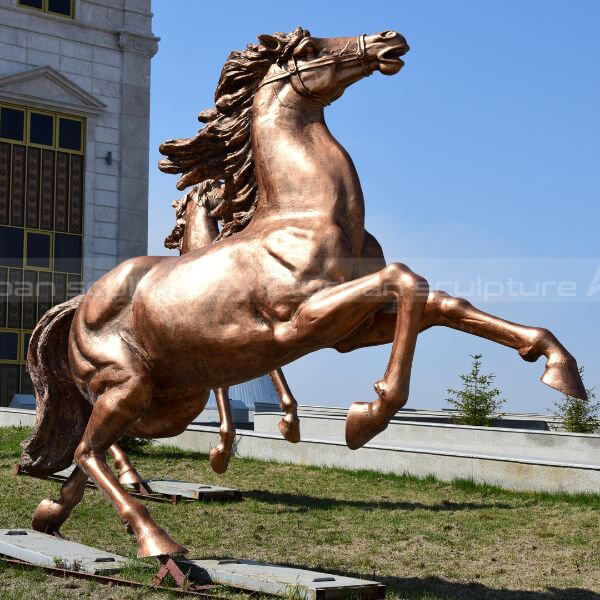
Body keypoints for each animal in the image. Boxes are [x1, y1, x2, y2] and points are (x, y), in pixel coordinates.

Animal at [19, 28, 584, 560]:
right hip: (129, 383)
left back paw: (52, 513)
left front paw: (560, 368)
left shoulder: (350, 331)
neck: (305, 212)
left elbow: (443, 302)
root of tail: (79, 304)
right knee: (90, 448)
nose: (390, 39)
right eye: (310, 47)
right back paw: (155, 541)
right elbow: (407, 278)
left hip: (172, 399)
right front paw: (365, 418)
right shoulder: (302, 321)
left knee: (95, 444)